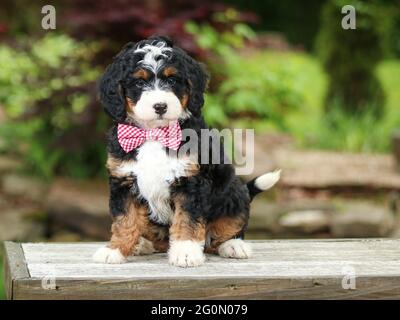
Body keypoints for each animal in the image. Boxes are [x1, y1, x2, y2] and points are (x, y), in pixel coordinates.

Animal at [94, 35, 282, 268]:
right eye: (139, 82)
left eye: (172, 80)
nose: (160, 106)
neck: (154, 133)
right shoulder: (123, 180)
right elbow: (125, 219)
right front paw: (115, 249)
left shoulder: (191, 182)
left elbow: (187, 220)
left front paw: (185, 251)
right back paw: (142, 244)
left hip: (234, 196)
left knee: (229, 228)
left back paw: (233, 245)